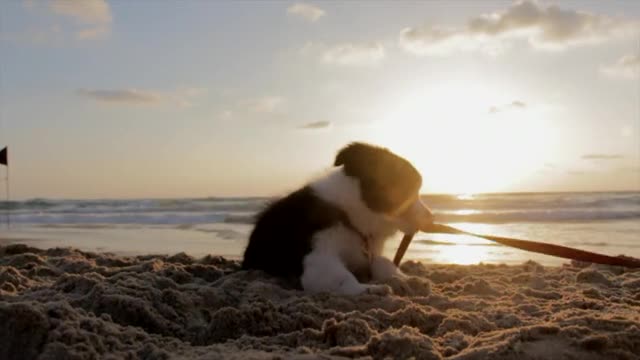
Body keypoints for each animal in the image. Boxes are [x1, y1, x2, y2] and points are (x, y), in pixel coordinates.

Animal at [241, 142, 436, 294]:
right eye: (409, 190)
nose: (431, 217)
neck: (348, 213)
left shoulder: (367, 255)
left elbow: (383, 262)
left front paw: (406, 279)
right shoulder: (318, 254)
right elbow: (343, 277)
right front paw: (370, 289)